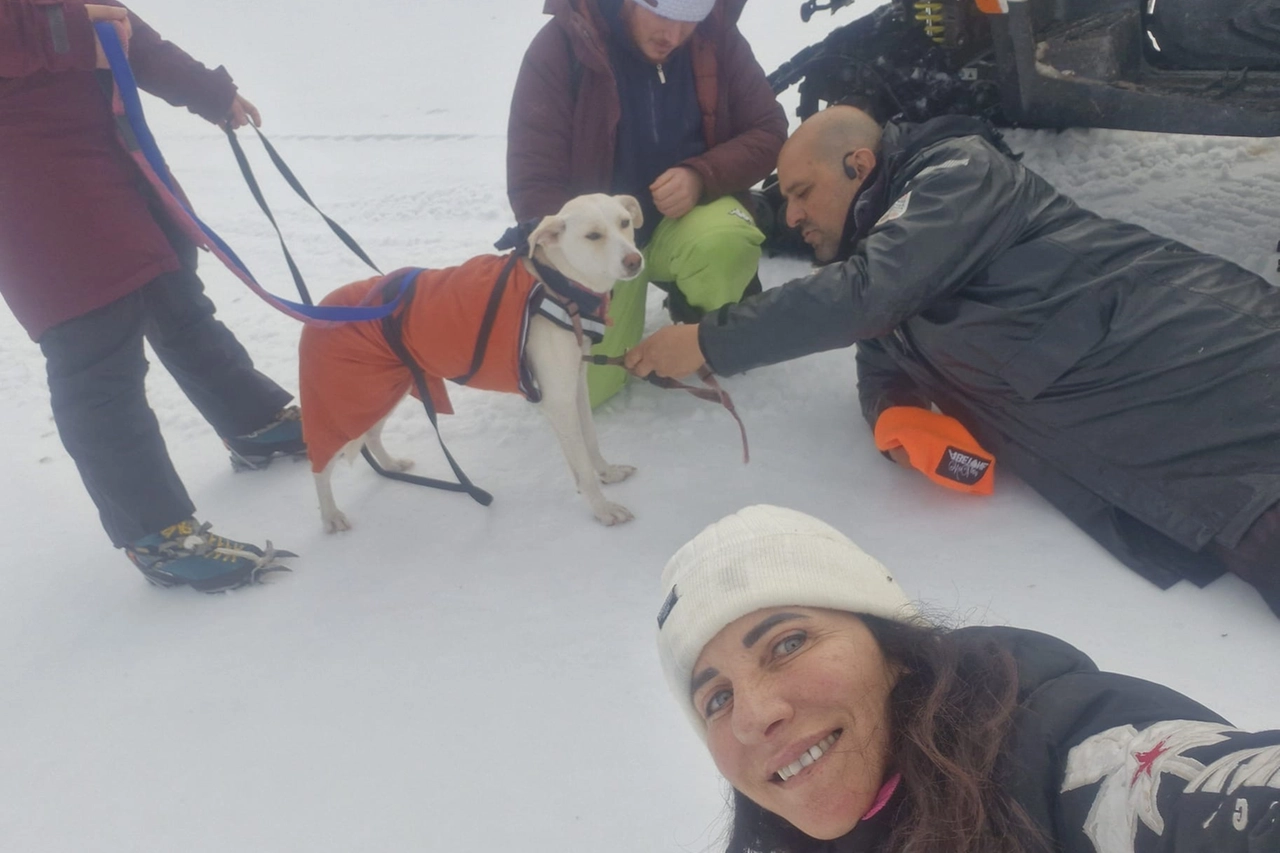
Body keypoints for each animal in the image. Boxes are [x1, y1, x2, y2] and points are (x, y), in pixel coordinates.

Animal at [295, 192, 645, 527]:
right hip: (346, 405)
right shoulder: (557, 400)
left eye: (625, 223)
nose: (634, 260)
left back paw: (391, 465)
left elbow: (591, 441)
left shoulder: (576, 386)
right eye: (593, 235)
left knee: (371, 434)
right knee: (320, 466)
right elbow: (582, 467)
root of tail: (316, 312)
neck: (554, 284)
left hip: (382, 393)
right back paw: (330, 515)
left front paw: (608, 472)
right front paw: (602, 509)